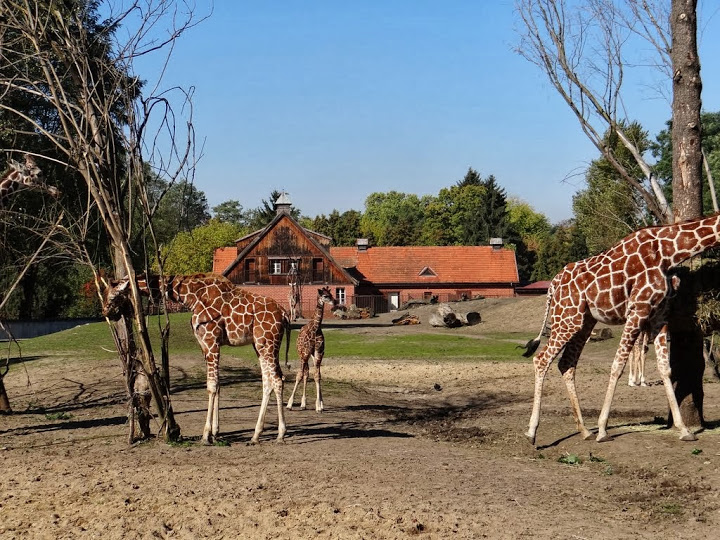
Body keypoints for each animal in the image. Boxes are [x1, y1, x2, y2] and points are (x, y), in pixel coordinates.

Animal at [102, 273, 291, 445]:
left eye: (113, 296)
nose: (106, 312)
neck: (190, 297)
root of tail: (284, 315)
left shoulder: (210, 341)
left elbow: (212, 386)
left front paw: (206, 435)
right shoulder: (205, 345)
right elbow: (218, 385)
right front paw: (215, 432)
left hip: (267, 343)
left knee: (276, 380)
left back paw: (281, 434)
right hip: (260, 345)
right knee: (269, 381)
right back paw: (256, 435)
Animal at [521, 214, 720, 444]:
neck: (670, 251)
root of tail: (553, 284)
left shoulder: (659, 315)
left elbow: (665, 368)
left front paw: (684, 430)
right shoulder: (638, 309)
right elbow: (617, 365)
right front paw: (602, 429)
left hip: (584, 321)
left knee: (566, 364)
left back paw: (584, 430)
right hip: (567, 318)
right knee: (541, 359)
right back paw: (532, 431)